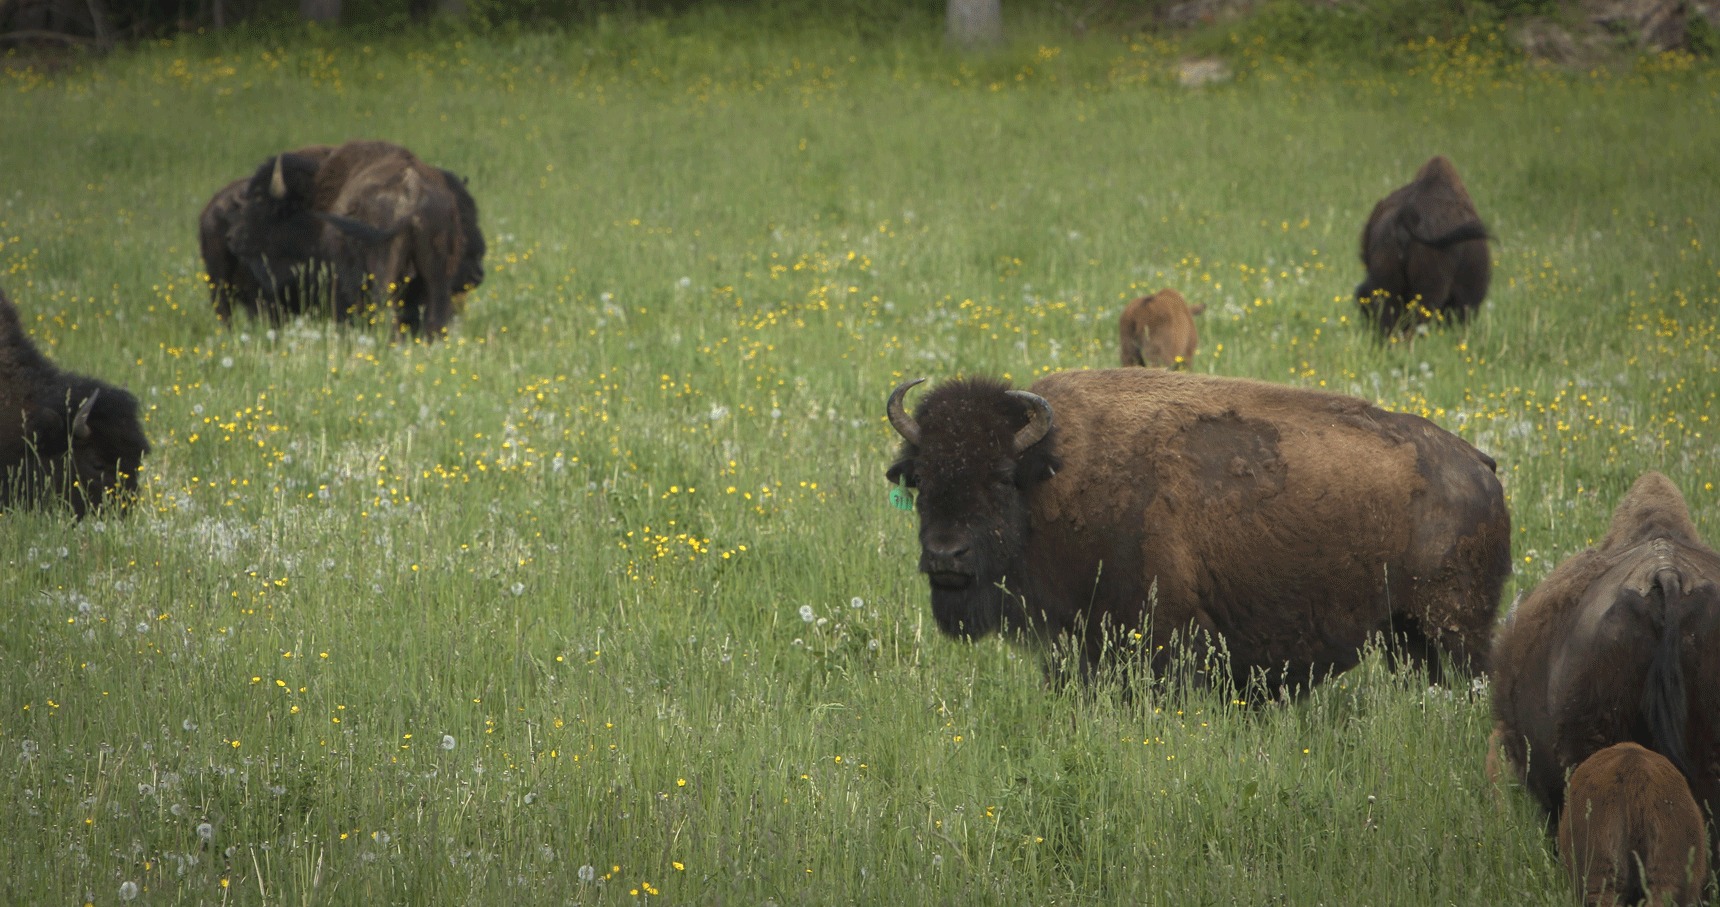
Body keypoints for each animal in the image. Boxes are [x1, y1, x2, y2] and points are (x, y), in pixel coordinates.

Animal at [885, 368, 1510, 691]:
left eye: (997, 478)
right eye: (922, 478)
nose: (945, 555)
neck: (1051, 473)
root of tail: (1479, 465)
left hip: (1454, 631)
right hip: (1407, 635)